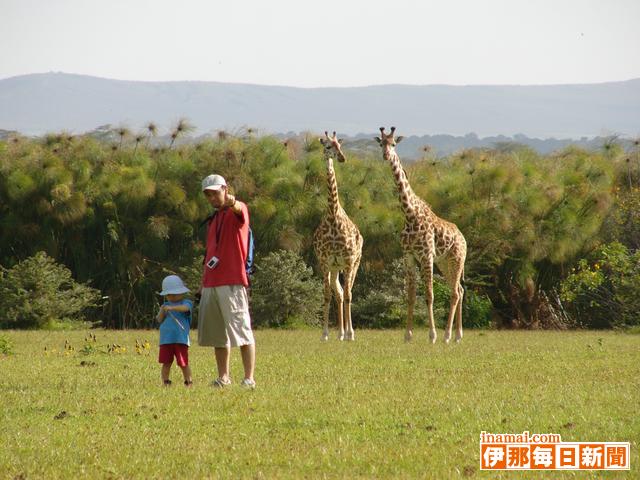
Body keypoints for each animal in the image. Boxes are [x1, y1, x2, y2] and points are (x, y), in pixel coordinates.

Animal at [376, 125, 464, 344]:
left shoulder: (426, 256)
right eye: (381, 144)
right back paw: (458, 335)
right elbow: (411, 295)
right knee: (459, 289)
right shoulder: (409, 256)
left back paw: (447, 335)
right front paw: (408, 335)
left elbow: (429, 295)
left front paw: (432, 335)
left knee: (455, 292)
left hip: (456, 259)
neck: (409, 214)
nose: (386, 155)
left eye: (394, 144)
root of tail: (463, 237)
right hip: (444, 263)